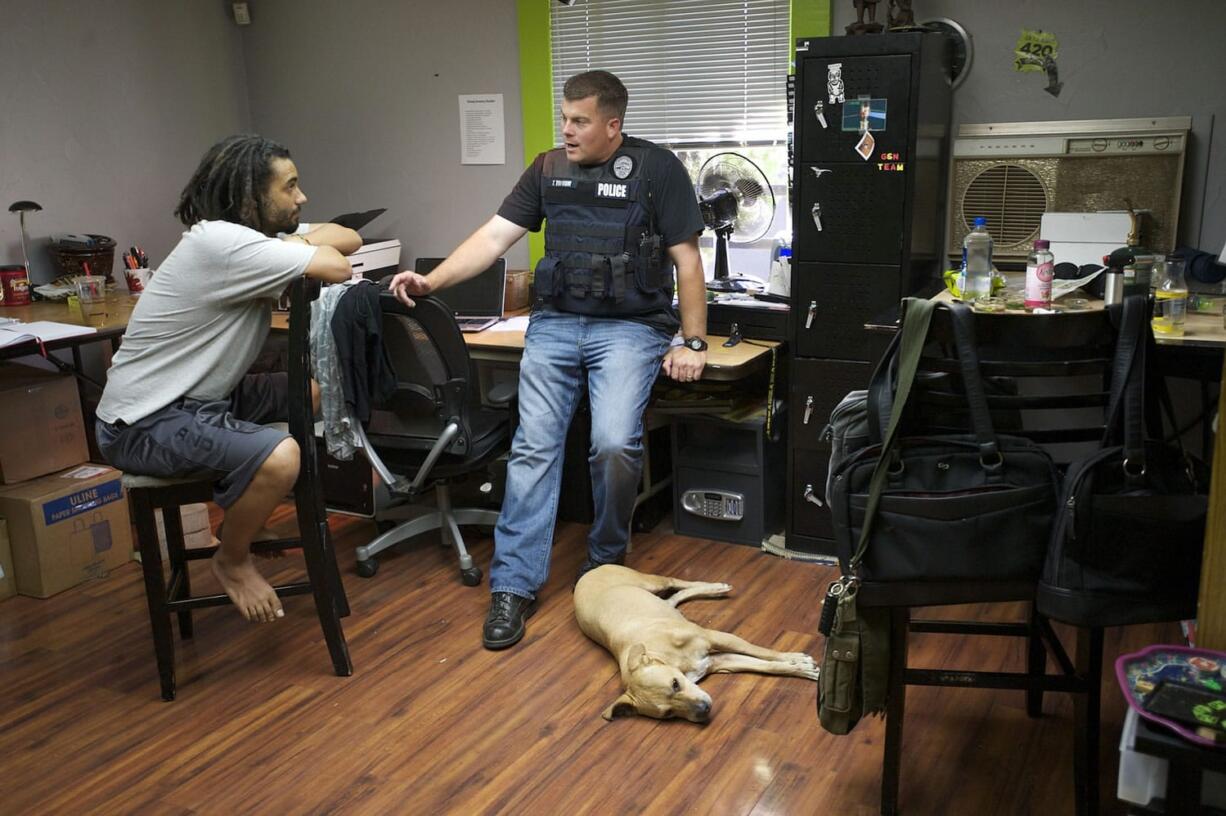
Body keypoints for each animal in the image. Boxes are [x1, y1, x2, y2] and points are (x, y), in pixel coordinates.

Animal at [573, 566, 823, 720]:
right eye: (669, 714)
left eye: (675, 684)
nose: (704, 710)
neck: (663, 655)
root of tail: (586, 574)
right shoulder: (721, 661)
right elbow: (766, 666)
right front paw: (800, 668)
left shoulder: (716, 637)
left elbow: (764, 652)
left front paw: (796, 659)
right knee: (675, 597)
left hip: (648, 581)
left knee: (675, 582)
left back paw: (716, 586)